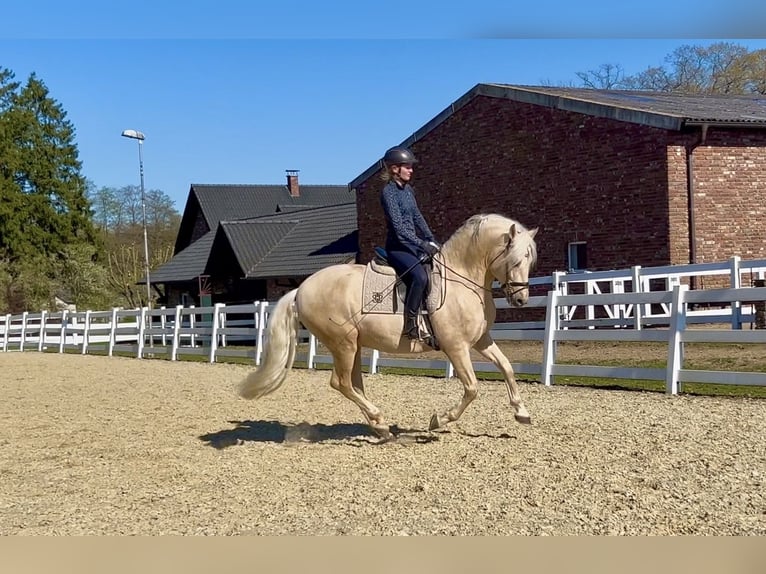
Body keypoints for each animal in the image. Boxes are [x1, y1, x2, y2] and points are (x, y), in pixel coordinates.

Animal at [237, 213, 538, 439]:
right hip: (343, 344)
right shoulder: (456, 347)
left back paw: (379, 426)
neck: (462, 280)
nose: (521, 299)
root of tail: (301, 289)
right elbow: (472, 388)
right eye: (515, 260)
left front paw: (522, 412)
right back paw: (379, 420)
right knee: (341, 382)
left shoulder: (480, 340)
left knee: (355, 385)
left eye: (529, 261)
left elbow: (507, 367)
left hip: (355, 346)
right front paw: (438, 420)